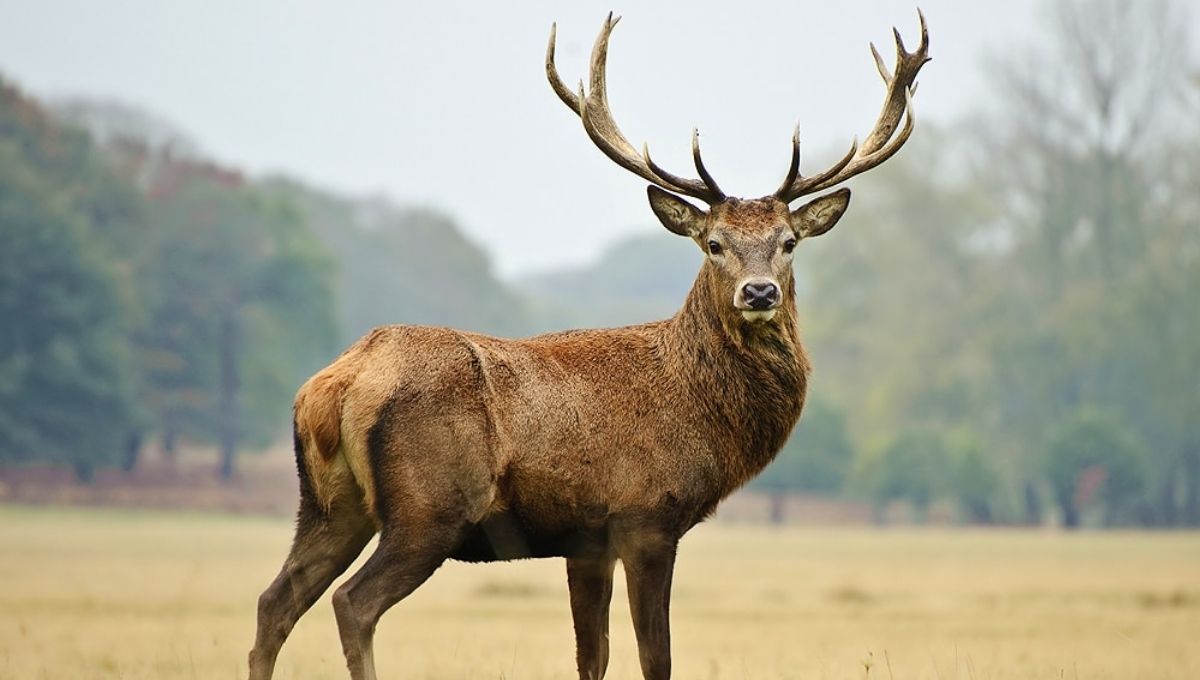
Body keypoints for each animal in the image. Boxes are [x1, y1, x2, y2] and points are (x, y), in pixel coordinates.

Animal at [248, 11, 929, 680]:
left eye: (789, 241)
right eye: (713, 243)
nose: (758, 291)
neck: (702, 414)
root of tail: (336, 382)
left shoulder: (586, 541)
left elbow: (592, 656)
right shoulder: (646, 517)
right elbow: (656, 657)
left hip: (330, 504)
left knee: (275, 600)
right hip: (428, 507)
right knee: (351, 603)